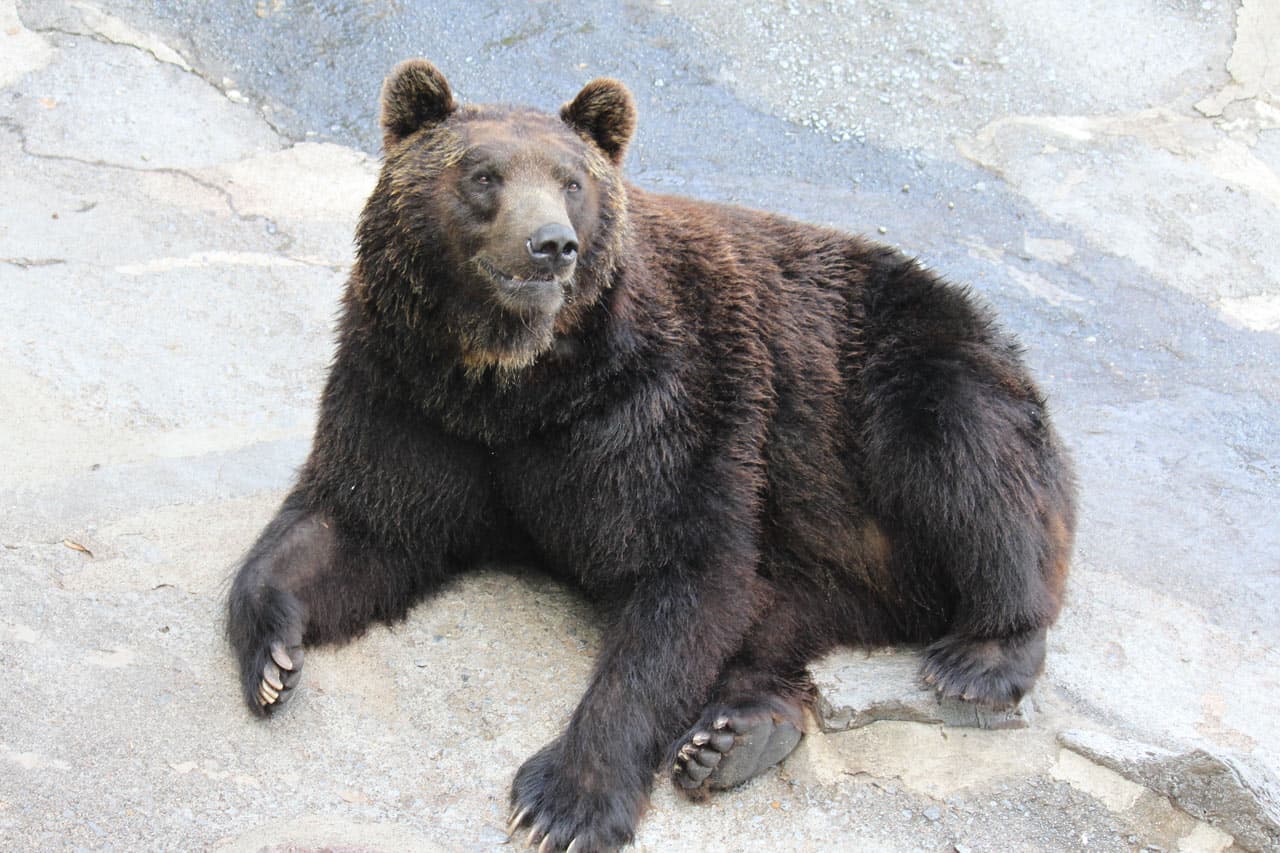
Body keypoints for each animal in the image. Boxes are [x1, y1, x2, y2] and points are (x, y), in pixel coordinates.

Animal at [227, 59, 1075, 852]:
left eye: (571, 181)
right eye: (483, 174)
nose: (551, 246)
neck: (515, 378)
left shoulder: (661, 405)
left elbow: (682, 576)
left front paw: (564, 801)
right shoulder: (409, 391)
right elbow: (360, 520)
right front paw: (271, 655)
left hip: (899, 378)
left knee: (965, 461)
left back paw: (982, 653)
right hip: (820, 554)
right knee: (781, 617)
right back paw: (736, 735)